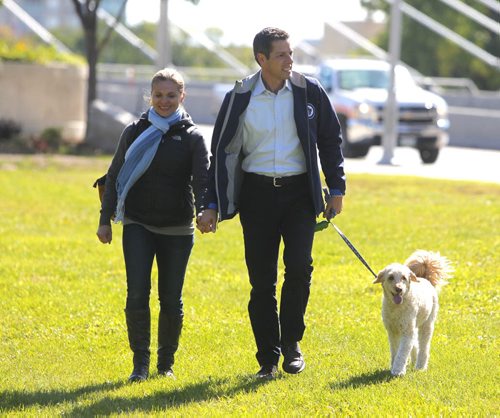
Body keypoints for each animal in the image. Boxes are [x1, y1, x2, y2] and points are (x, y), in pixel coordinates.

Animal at [376, 250, 454, 378]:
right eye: (391, 277)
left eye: (404, 278)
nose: (399, 289)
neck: (397, 308)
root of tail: (425, 279)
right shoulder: (392, 331)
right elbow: (395, 351)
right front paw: (394, 366)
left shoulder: (406, 331)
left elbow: (402, 352)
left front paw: (398, 370)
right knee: (415, 344)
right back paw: (413, 361)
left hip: (427, 324)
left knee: (424, 347)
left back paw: (420, 366)